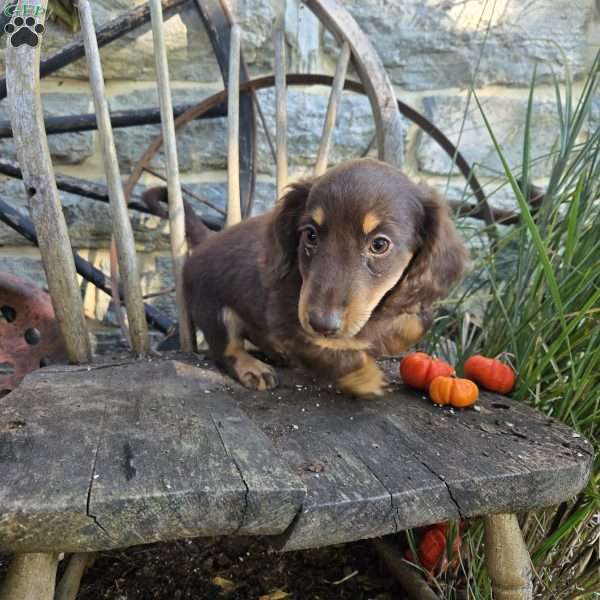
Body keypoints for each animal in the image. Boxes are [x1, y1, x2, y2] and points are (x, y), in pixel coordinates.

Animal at [166, 157, 466, 396]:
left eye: (379, 244)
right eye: (310, 234)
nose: (322, 323)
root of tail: (207, 239)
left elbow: (419, 321)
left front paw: (401, 330)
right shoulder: (289, 321)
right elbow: (336, 354)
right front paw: (366, 378)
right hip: (214, 311)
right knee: (227, 349)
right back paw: (252, 367)